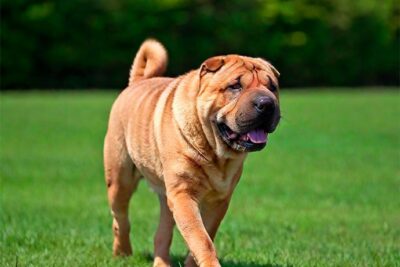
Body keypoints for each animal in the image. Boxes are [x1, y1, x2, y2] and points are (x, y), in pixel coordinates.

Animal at [104, 38, 280, 266]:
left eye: (272, 87)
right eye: (235, 86)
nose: (266, 103)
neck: (215, 152)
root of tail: (136, 82)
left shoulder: (218, 200)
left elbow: (204, 235)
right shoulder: (183, 194)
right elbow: (200, 238)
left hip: (165, 196)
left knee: (162, 233)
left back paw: (161, 262)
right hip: (119, 179)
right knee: (121, 219)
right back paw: (122, 252)